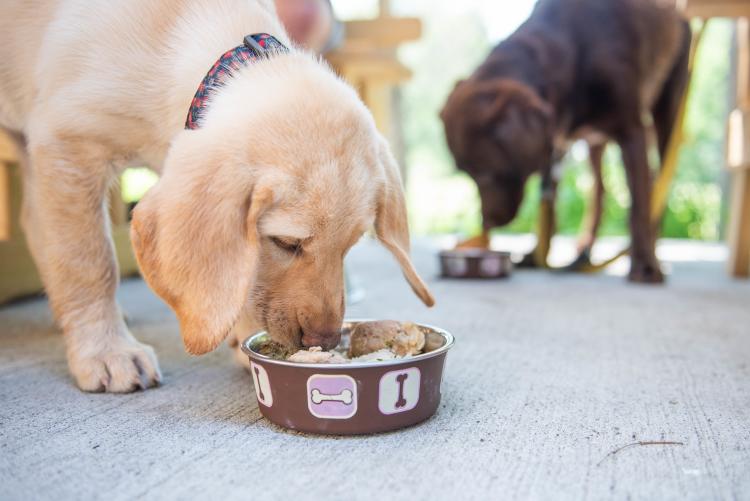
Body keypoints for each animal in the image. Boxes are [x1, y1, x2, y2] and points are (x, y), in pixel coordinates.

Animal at [0, 0, 434, 390]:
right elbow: (88, 263)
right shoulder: (67, 145)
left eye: (350, 245)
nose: (324, 342)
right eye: (286, 242)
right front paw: (106, 351)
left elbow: (238, 273)